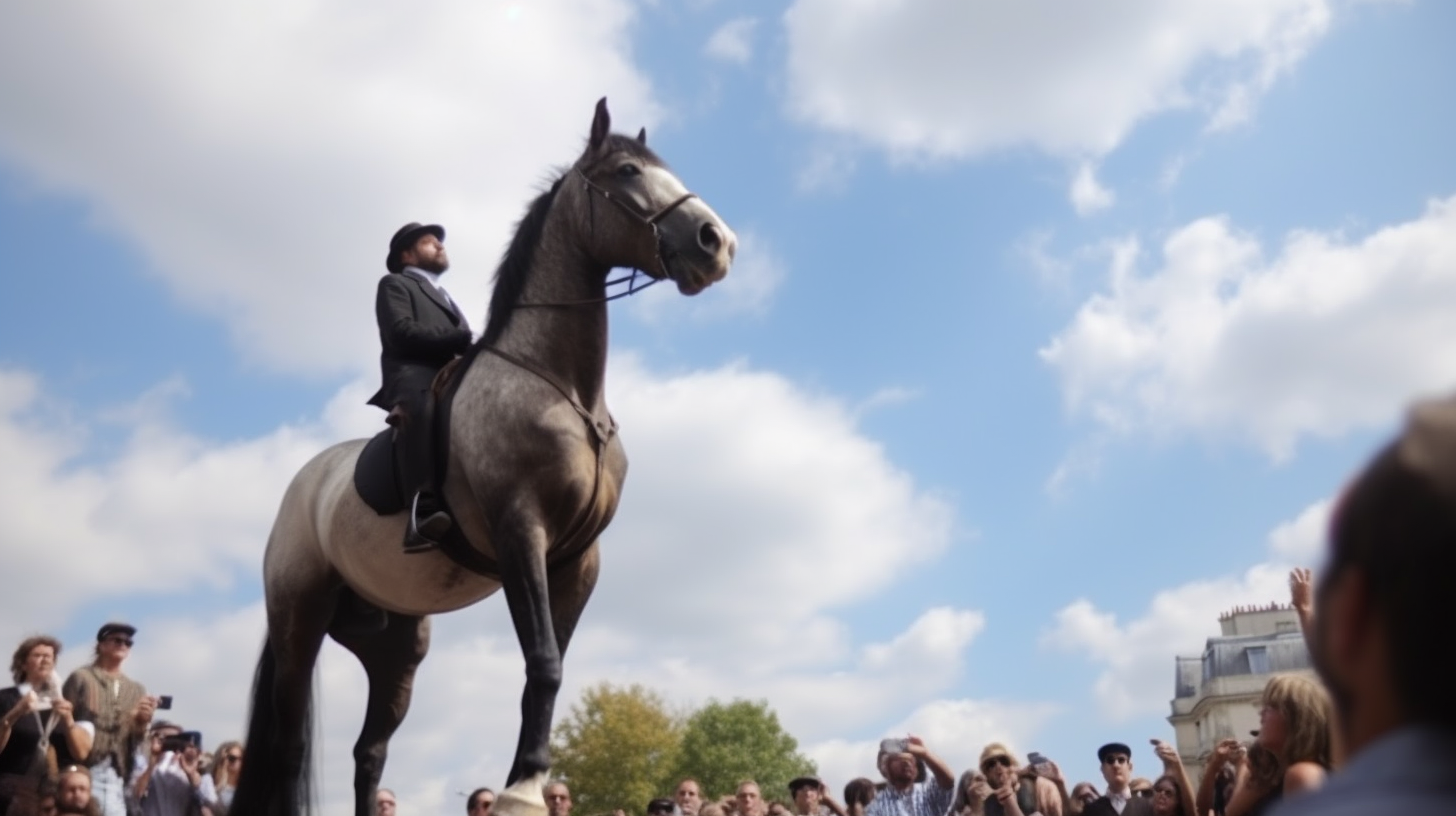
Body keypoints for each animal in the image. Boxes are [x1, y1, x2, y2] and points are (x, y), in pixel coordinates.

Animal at [234, 100, 739, 816]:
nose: (716, 243)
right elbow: (544, 662)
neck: (564, 390)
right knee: (289, 746)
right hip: (299, 619)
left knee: (370, 750)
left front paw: (528, 779)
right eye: (627, 171)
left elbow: (550, 665)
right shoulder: (520, 531)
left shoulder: (578, 559)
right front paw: (522, 790)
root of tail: (302, 489)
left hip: (394, 644)